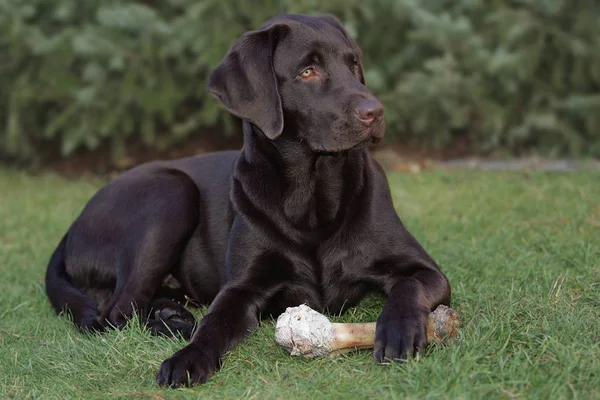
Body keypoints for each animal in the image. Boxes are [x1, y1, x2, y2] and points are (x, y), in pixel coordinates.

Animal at [45, 13, 450, 388]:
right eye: (307, 71)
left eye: (353, 64)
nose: (375, 112)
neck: (310, 195)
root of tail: (71, 228)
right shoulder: (241, 288)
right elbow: (214, 324)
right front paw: (188, 358)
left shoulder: (426, 269)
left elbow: (408, 287)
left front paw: (399, 332)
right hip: (171, 193)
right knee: (114, 314)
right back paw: (171, 325)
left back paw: (171, 315)